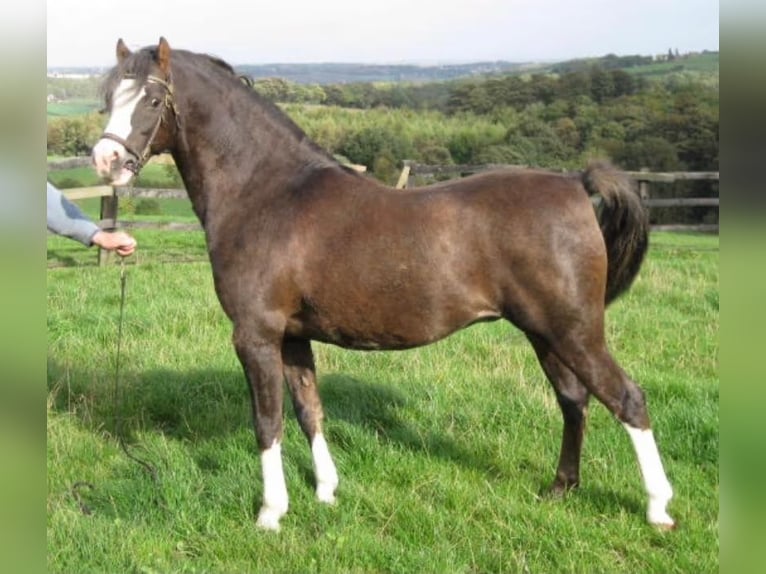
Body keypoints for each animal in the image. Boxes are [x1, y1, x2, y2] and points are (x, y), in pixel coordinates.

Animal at [93, 38, 676, 532]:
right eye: (107, 97)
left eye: (151, 98)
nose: (106, 159)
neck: (268, 194)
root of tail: (576, 184)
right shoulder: (293, 336)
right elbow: (309, 411)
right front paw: (326, 492)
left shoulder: (256, 335)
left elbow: (268, 421)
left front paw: (270, 513)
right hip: (545, 333)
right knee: (574, 400)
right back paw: (561, 488)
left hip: (575, 331)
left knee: (627, 399)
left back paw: (658, 508)